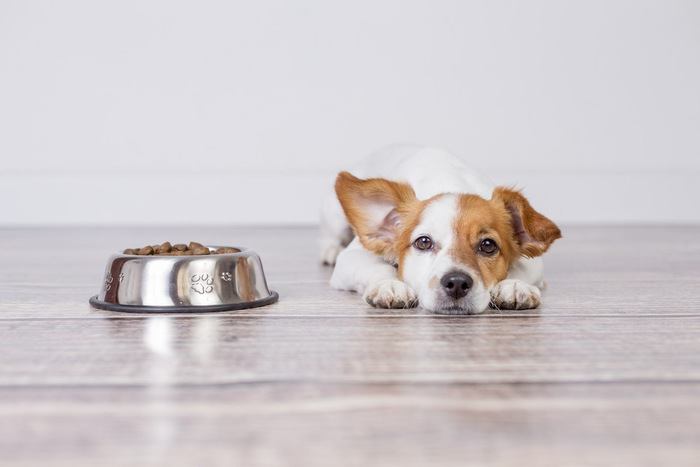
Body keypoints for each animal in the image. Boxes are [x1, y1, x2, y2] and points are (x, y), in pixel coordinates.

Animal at [320, 144, 560, 316]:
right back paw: (329, 250)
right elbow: (379, 268)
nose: (457, 283)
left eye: (488, 245)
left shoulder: (533, 263)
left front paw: (514, 286)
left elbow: (519, 270)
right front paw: (390, 285)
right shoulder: (352, 257)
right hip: (335, 220)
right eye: (423, 242)